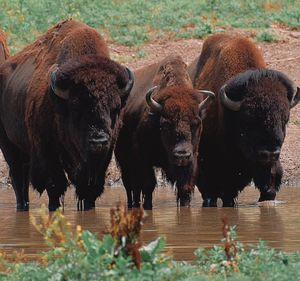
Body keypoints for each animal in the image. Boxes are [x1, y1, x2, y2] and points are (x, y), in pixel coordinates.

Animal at [0, 19, 134, 210]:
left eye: (115, 108)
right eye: (76, 107)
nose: (98, 140)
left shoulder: (103, 156)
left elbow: (89, 189)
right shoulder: (47, 151)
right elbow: (55, 186)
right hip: (8, 143)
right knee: (18, 177)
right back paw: (22, 206)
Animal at [115, 54, 216, 208]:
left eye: (196, 123)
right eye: (166, 124)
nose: (181, 155)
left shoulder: (191, 159)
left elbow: (184, 189)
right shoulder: (143, 158)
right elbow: (148, 186)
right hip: (124, 160)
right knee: (130, 186)